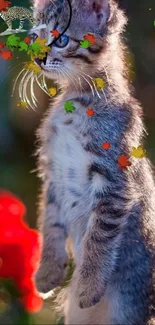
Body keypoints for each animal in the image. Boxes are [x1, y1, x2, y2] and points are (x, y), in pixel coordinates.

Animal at [31, 0, 155, 324]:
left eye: (61, 39)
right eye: (35, 36)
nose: (37, 58)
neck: (77, 101)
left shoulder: (114, 181)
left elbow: (99, 238)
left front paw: (88, 286)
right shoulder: (52, 173)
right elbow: (50, 221)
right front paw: (48, 272)